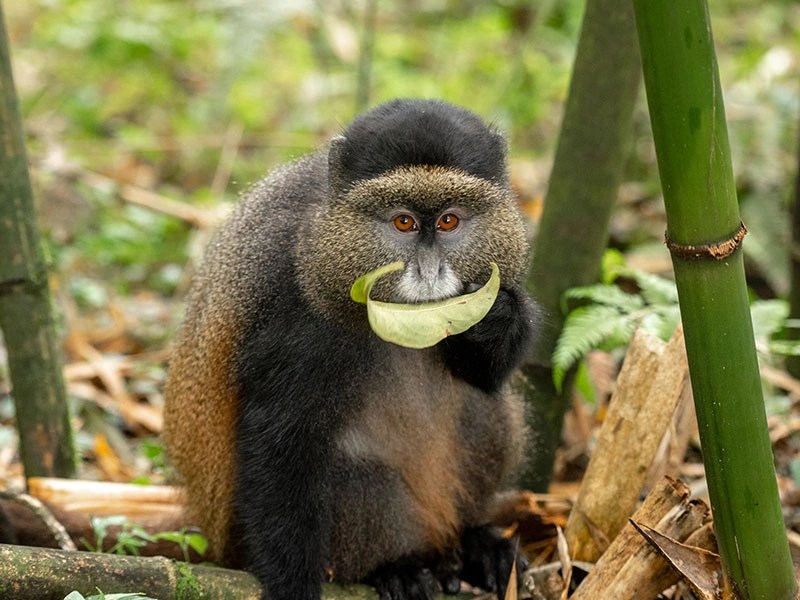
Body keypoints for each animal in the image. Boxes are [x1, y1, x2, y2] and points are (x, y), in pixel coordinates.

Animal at [163, 98, 537, 600]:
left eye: (449, 221)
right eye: (403, 222)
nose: (430, 271)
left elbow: (485, 377)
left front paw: (498, 316)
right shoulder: (297, 307)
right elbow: (280, 437)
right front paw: (292, 584)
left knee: (487, 408)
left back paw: (472, 540)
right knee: (350, 474)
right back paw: (395, 566)